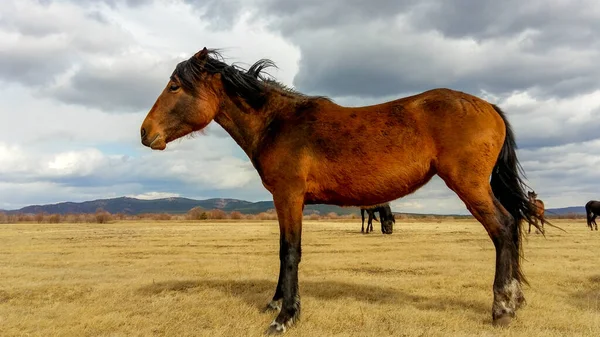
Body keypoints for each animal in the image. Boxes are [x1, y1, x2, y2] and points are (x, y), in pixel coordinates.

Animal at [139, 47, 544, 334]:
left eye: (174, 86)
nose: (145, 132)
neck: (278, 123)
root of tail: (488, 106)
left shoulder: (289, 196)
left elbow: (290, 252)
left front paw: (285, 316)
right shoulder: (285, 200)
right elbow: (283, 251)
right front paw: (275, 303)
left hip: (469, 186)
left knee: (503, 229)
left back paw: (502, 308)